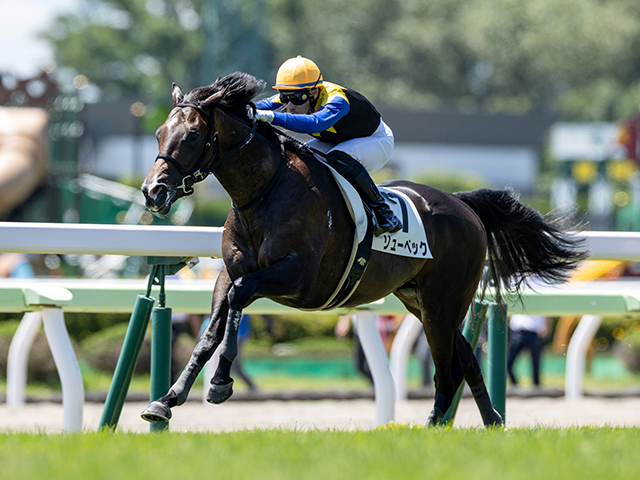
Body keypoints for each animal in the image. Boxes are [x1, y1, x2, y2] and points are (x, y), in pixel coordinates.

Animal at [139, 72, 584, 428]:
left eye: (191, 135)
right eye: (159, 133)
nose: (152, 191)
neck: (264, 192)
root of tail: (465, 206)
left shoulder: (296, 277)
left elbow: (239, 296)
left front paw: (220, 382)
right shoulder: (229, 272)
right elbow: (211, 329)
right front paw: (167, 400)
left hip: (444, 302)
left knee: (445, 369)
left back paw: (436, 428)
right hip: (422, 302)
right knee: (465, 360)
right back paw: (490, 420)